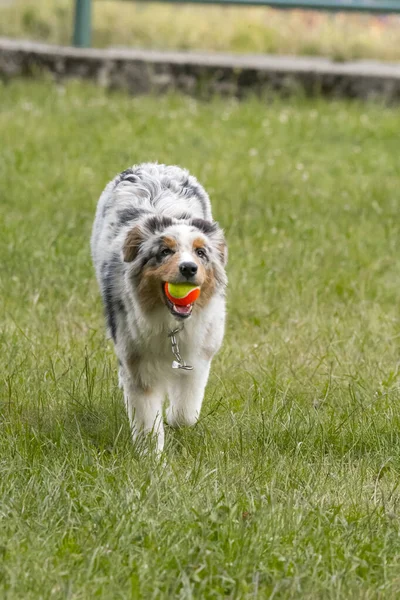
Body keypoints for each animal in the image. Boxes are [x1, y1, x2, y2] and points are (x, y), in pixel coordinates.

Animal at [91, 162, 228, 452]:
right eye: (165, 252)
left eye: (201, 253)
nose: (188, 268)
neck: (171, 321)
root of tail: (152, 165)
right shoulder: (136, 360)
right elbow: (146, 420)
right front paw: (151, 457)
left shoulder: (199, 354)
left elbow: (186, 412)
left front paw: (174, 421)